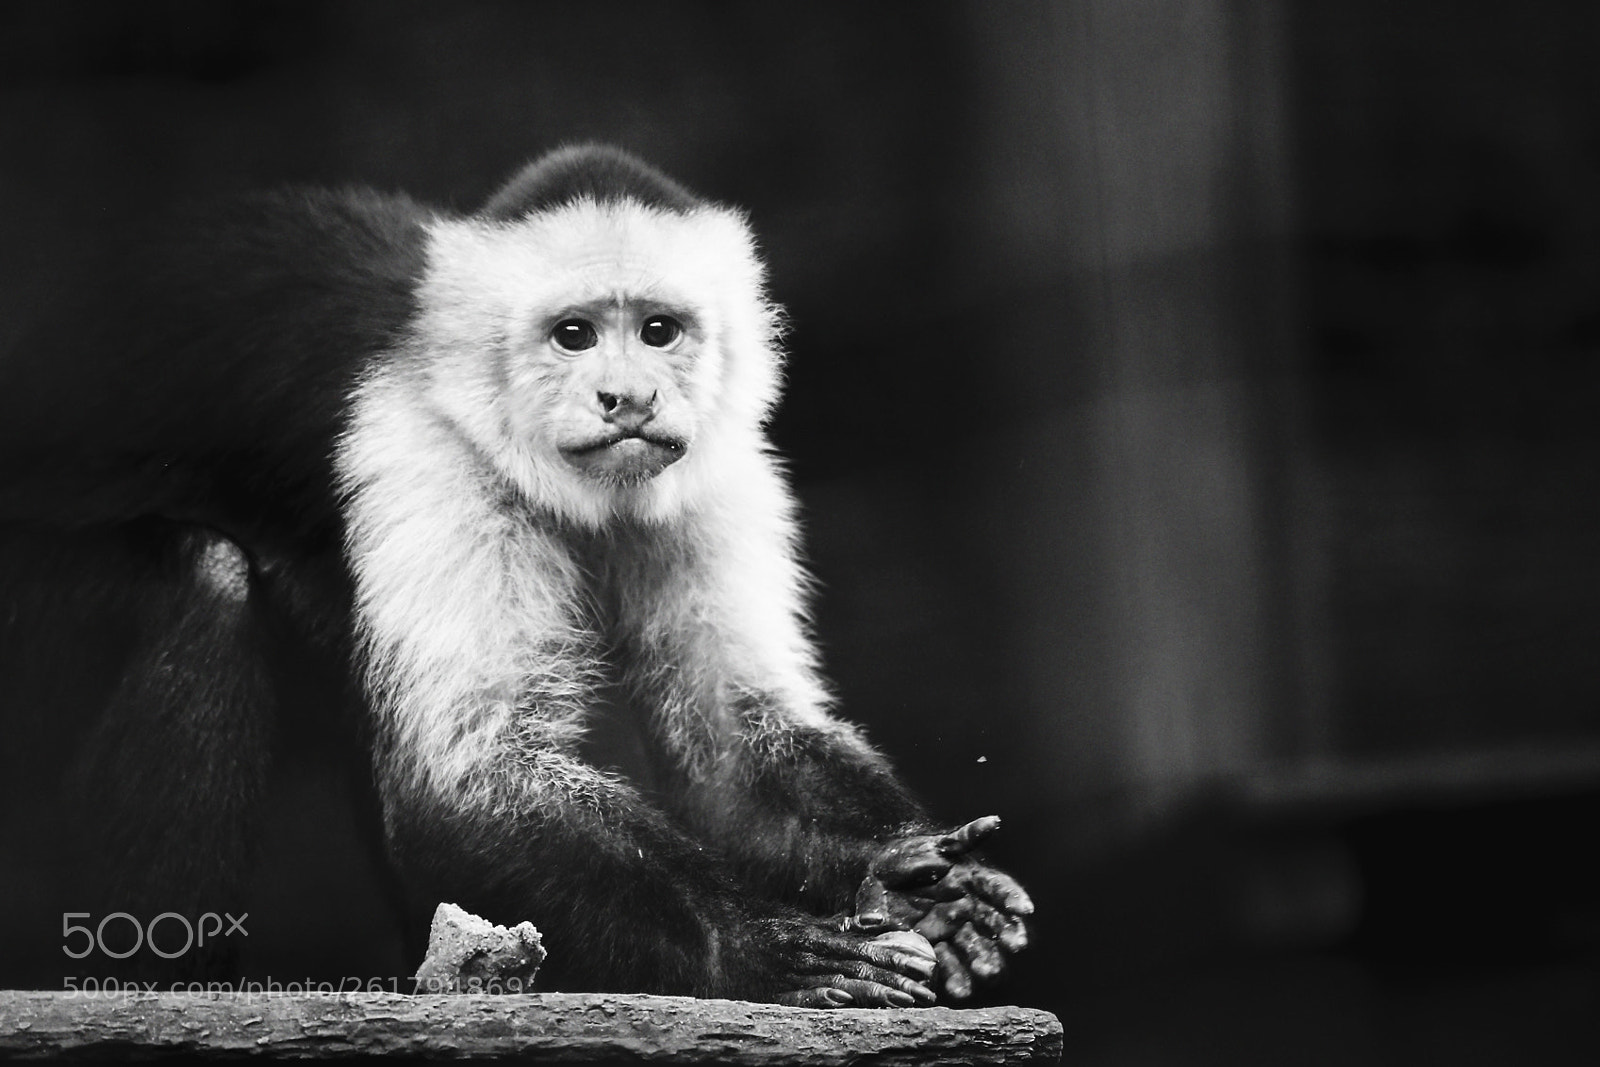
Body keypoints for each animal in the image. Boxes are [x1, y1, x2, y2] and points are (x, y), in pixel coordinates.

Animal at [0, 145, 1031, 1005]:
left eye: (659, 331)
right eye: (574, 335)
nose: (628, 397)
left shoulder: (720, 470)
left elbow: (728, 744)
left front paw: (909, 873)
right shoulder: (424, 451)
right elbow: (465, 775)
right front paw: (753, 949)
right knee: (205, 585)